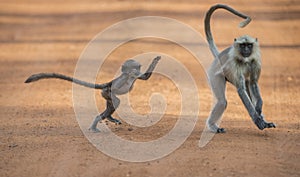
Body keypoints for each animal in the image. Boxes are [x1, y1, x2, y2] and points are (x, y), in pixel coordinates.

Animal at [25, 56, 162, 132]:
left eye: (138, 67)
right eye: (134, 67)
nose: (136, 69)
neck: (129, 74)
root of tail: (106, 84)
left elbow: (145, 77)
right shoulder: (128, 76)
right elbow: (141, 78)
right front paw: (156, 59)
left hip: (105, 94)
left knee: (111, 103)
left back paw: (108, 117)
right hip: (107, 92)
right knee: (116, 100)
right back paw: (97, 122)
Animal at [205, 3, 276, 133]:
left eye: (249, 45)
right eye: (243, 45)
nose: (246, 50)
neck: (245, 60)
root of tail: (218, 57)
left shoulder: (255, 62)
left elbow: (253, 83)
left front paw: (259, 110)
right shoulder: (234, 63)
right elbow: (241, 90)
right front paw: (257, 120)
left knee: (249, 87)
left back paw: (264, 120)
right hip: (214, 74)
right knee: (222, 102)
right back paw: (213, 126)